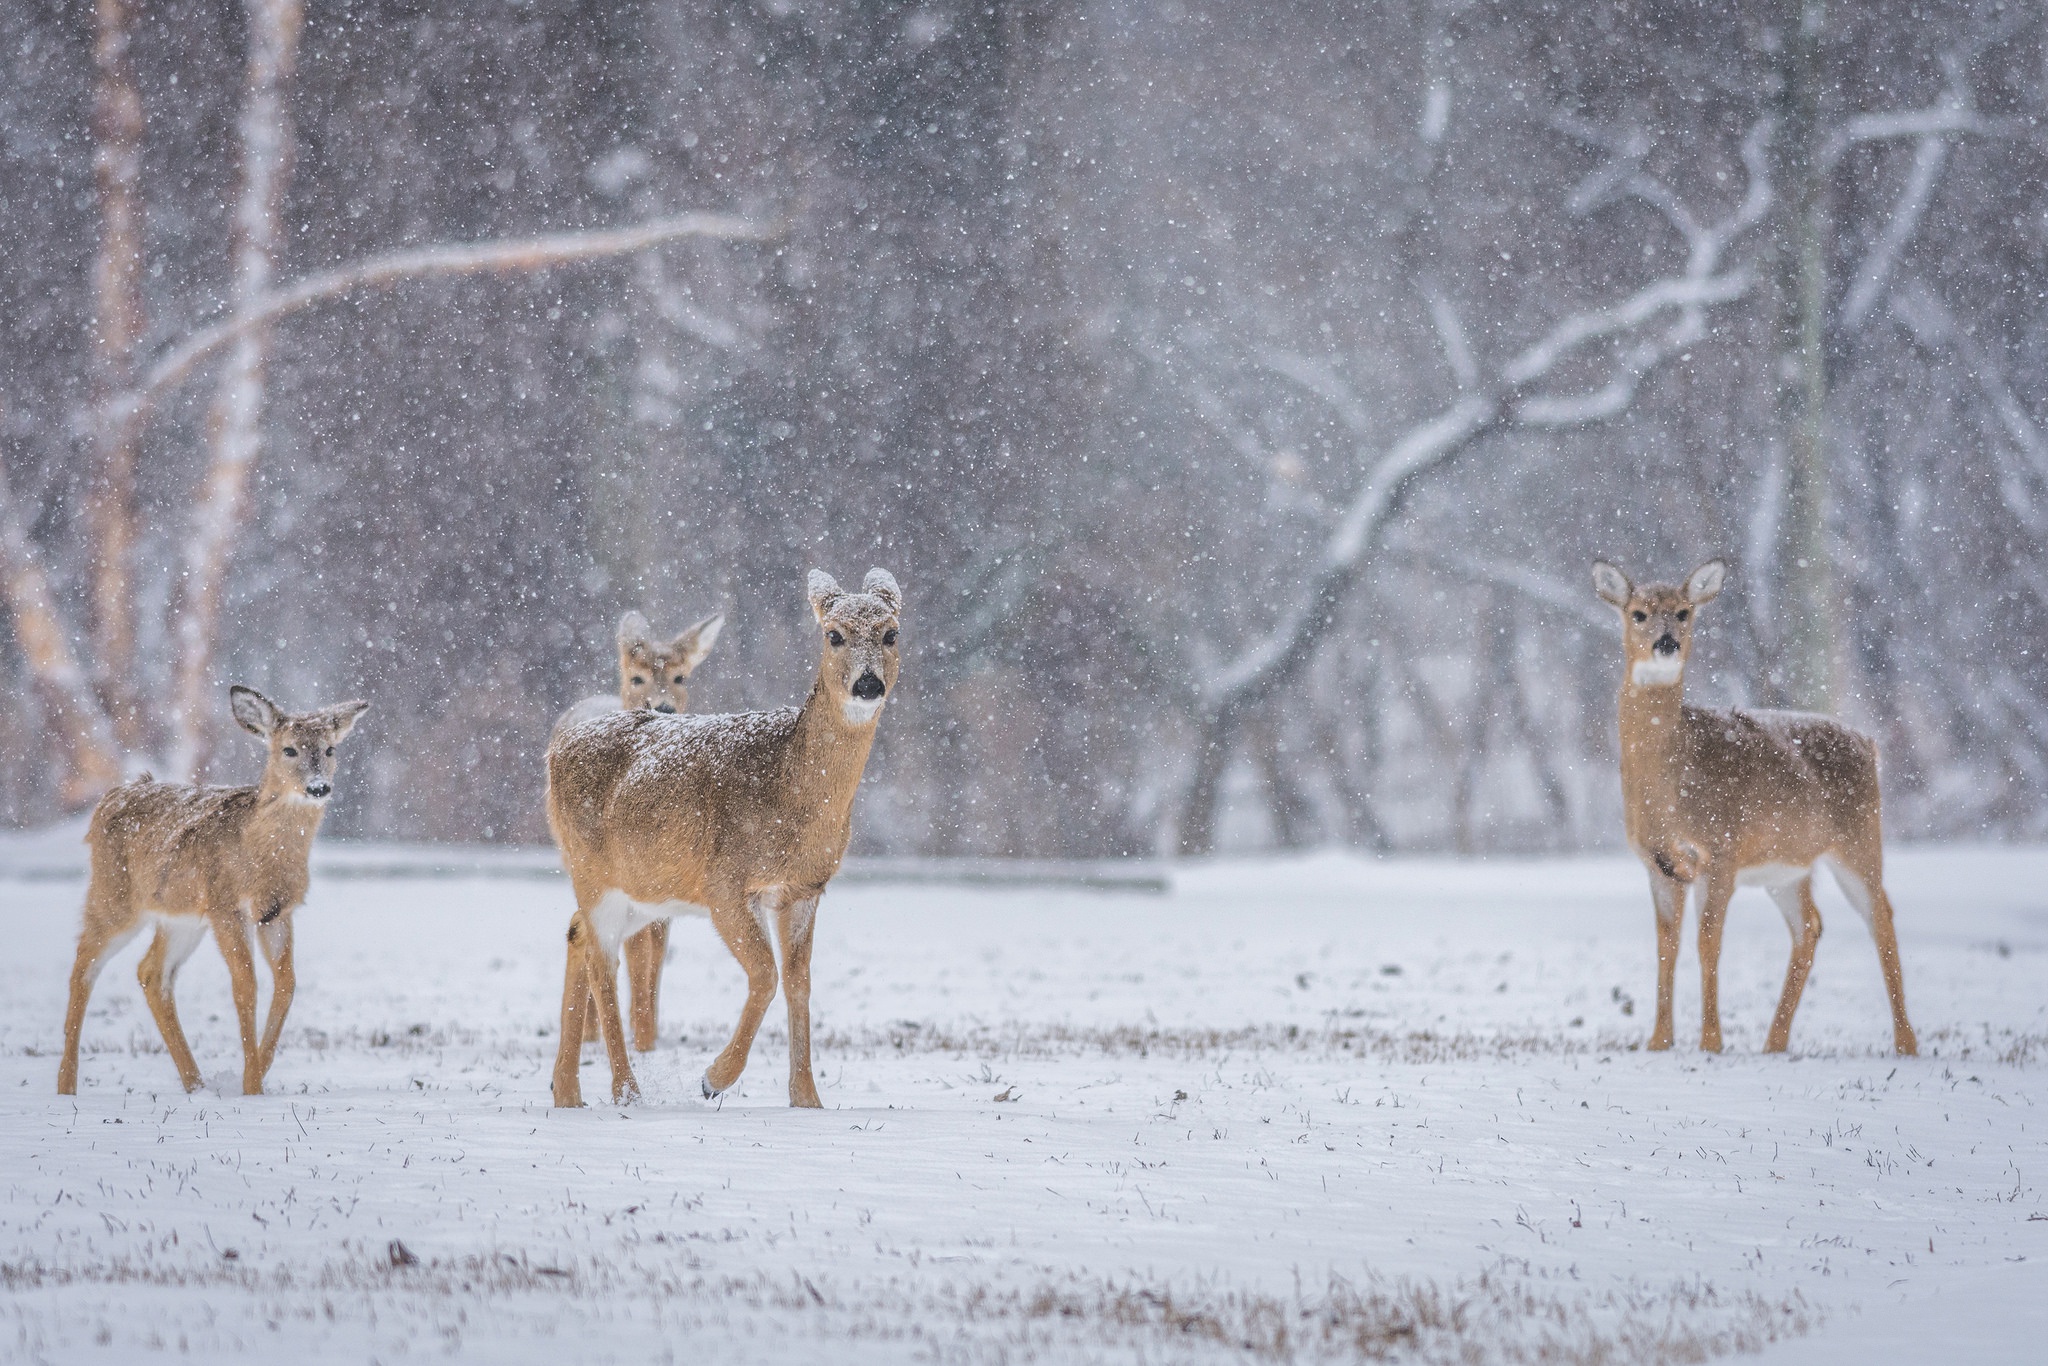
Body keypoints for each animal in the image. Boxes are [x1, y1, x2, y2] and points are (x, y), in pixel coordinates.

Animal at [58, 688, 372, 1097]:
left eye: (330, 749)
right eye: (289, 749)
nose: (318, 786)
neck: (262, 855)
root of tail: (110, 797)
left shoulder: (277, 912)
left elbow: (287, 984)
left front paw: (258, 1070)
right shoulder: (226, 904)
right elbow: (245, 984)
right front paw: (252, 1085)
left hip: (180, 916)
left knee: (151, 972)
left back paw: (196, 1083)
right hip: (115, 895)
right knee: (84, 964)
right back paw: (66, 1086)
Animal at [552, 602, 729, 1056]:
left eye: (681, 677)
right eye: (637, 677)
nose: (662, 706)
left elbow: (655, 953)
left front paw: (647, 1033)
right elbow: (633, 951)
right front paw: (639, 1038)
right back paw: (593, 1032)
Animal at [1589, 561, 1908, 1064]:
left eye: (1684, 611)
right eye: (1638, 613)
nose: (1667, 642)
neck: (1671, 789)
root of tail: (1869, 743)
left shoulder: (1721, 848)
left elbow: (1708, 941)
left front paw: (1710, 1042)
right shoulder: (1657, 863)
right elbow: (1666, 945)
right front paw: (1658, 1042)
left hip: (1859, 839)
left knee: (1881, 918)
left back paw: (1905, 1045)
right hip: (1788, 868)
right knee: (1810, 927)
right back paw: (1774, 1044)